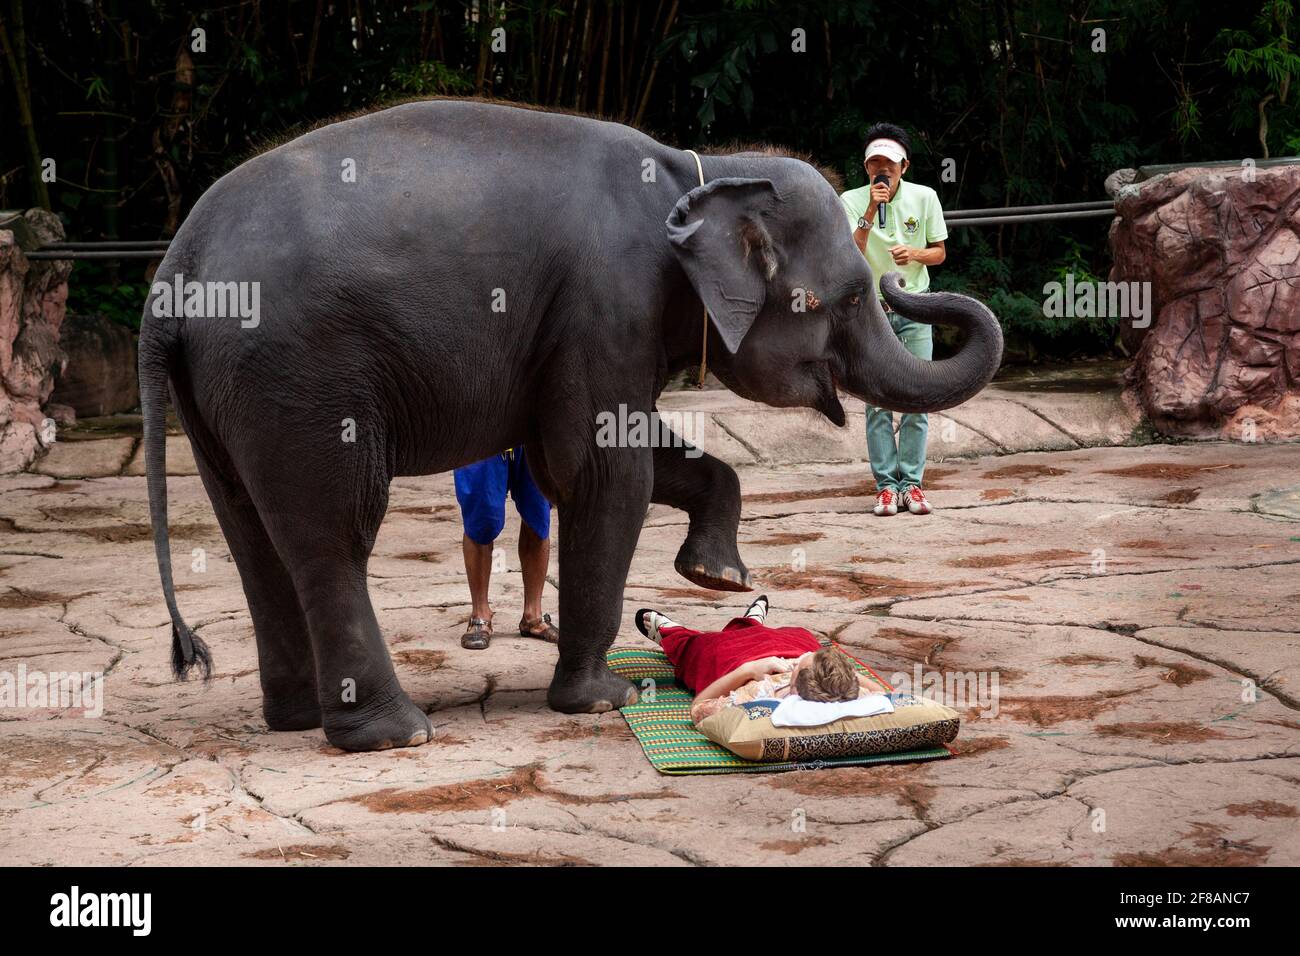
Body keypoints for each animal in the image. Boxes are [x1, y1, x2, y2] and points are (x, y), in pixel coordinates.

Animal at [140, 98, 1003, 752]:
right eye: (853, 296)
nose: (899, 274)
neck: (702, 170)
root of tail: (174, 271)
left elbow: (600, 461)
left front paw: (716, 577)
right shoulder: (607, 300)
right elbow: (603, 470)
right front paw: (603, 699)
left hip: (226, 393)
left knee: (252, 536)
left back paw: (292, 719)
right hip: (302, 376)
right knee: (332, 535)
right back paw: (396, 735)